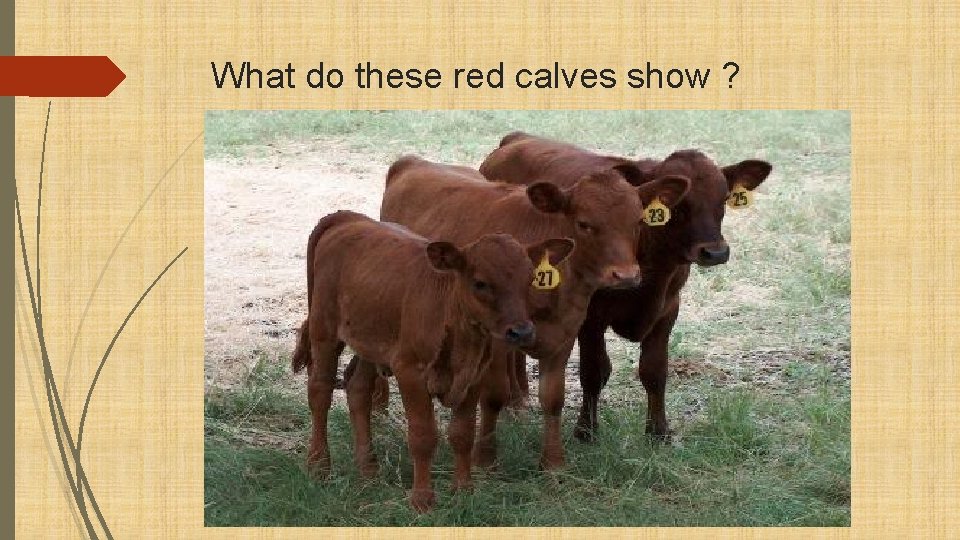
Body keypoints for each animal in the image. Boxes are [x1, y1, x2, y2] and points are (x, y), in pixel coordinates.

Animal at [291, 210, 574, 512]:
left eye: (530, 279)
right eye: (480, 283)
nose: (521, 332)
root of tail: (349, 218)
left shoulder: (475, 375)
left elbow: (463, 433)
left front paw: (463, 490)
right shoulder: (410, 372)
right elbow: (423, 436)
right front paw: (422, 500)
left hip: (370, 340)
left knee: (358, 390)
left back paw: (369, 471)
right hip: (324, 331)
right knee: (320, 391)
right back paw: (319, 466)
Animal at [379, 156, 690, 470]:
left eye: (638, 221)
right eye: (584, 223)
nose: (626, 275)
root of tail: (412, 162)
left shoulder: (566, 334)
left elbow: (553, 399)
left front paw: (553, 462)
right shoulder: (498, 340)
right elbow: (493, 396)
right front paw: (485, 457)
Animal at [479, 132, 772, 440]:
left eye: (724, 198)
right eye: (678, 204)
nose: (715, 252)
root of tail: (517, 139)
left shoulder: (668, 310)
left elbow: (654, 371)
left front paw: (658, 431)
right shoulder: (591, 316)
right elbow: (594, 371)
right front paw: (586, 429)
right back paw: (515, 401)